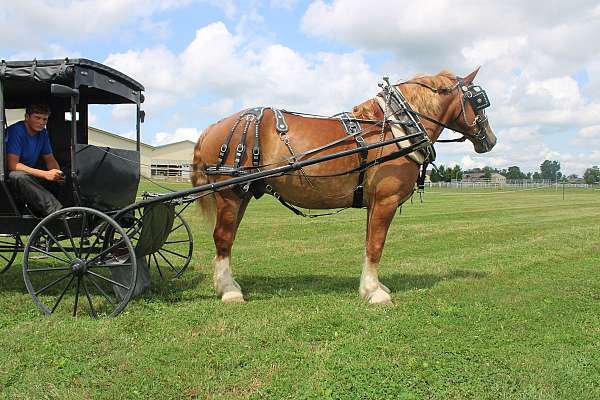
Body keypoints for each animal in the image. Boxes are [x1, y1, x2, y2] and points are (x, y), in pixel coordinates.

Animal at [191, 69, 496, 306]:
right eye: (479, 101)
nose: (491, 140)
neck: (397, 129)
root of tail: (213, 127)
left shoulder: (374, 204)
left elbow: (369, 244)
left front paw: (372, 286)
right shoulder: (385, 201)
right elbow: (376, 245)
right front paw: (374, 293)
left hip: (242, 194)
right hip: (230, 194)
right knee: (223, 238)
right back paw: (229, 291)